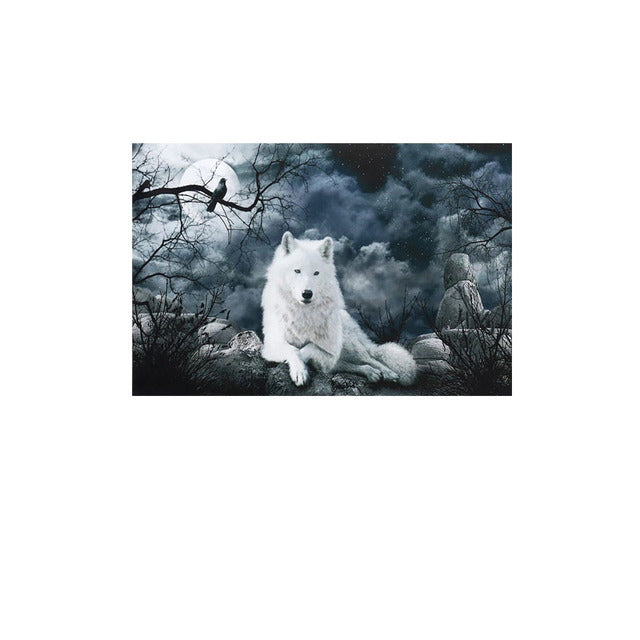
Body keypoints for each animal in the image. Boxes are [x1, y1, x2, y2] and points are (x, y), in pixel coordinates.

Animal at [261, 231, 417, 387]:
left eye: (316, 273)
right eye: (297, 271)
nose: (307, 293)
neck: (303, 314)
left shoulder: (331, 349)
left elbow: (310, 348)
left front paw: (304, 363)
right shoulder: (271, 345)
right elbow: (293, 349)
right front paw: (300, 371)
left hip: (350, 345)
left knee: (370, 358)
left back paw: (388, 373)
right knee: (351, 365)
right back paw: (372, 373)